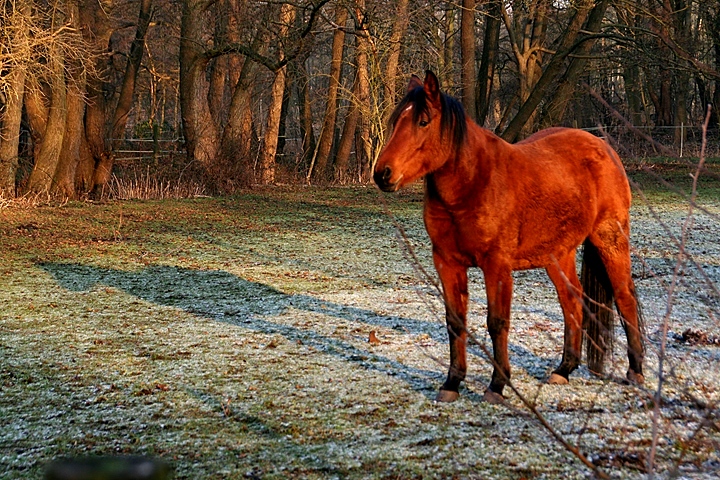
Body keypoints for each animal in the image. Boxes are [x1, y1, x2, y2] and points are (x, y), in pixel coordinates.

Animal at [374, 70, 644, 402]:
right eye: (396, 121)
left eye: (423, 121)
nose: (383, 174)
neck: (473, 183)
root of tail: (604, 148)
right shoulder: (447, 263)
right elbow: (455, 323)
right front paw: (452, 383)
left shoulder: (497, 266)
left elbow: (497, 322)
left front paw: (497, 385)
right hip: (558, 254)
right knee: (571, 300)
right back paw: (564, 369)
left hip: (610, 239)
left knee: (624, 298)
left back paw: (635, 371)